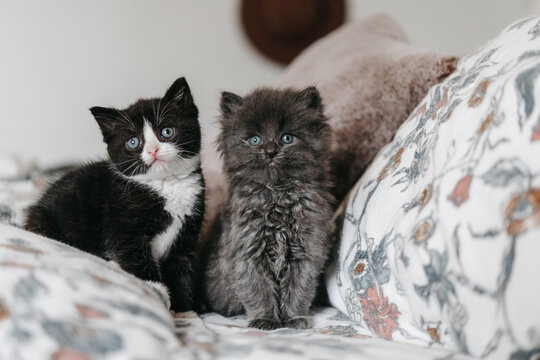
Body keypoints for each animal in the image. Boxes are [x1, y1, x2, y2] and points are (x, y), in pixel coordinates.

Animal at [24, 76, 205, 312]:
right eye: (133, 142)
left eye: (166, 132)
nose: (153, 150)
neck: (166, 185)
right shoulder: (122, 229)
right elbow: (137, 260)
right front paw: (158, 293)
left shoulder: (187, 236)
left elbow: (182, 272)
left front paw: (185, 310)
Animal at [200, 86, 336, 328]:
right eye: (255, 140)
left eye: (287, 138)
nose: (271, 150)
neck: (277, 196)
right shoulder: (247, 253)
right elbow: (258, 290)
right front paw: (266, 319)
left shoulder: (306, 252)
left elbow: (298, 290)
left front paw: (292, 318)